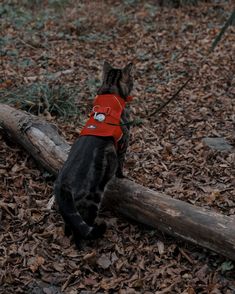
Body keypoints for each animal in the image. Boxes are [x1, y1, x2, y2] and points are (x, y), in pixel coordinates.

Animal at [54, 61, 133, 248]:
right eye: (132, 79)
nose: (134, 83)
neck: (110, 92)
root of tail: (62, 185)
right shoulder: (123, 144)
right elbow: (120, 166)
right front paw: (122, 176)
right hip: (91, 201)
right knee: (80, 231)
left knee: (70, 226)